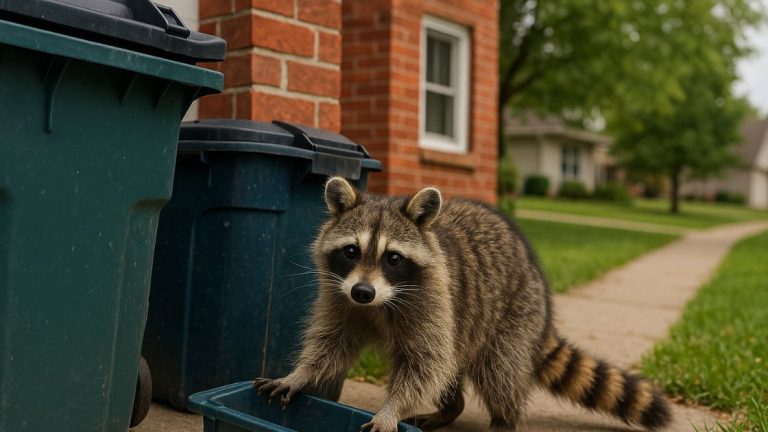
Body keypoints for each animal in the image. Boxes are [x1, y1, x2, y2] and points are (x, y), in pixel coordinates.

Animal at [254, 177, 672, 432]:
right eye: (351, 251)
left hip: (513, 316)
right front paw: (299, 374)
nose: (363, 292)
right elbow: (330, 344)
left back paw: (504, 418)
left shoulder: (432, 303)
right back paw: (449, 408)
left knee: (499, 372)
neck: (380, 303)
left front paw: (391, 409)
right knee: (453, 366)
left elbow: (424, 366)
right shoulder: (340, 295)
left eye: (393, 258)